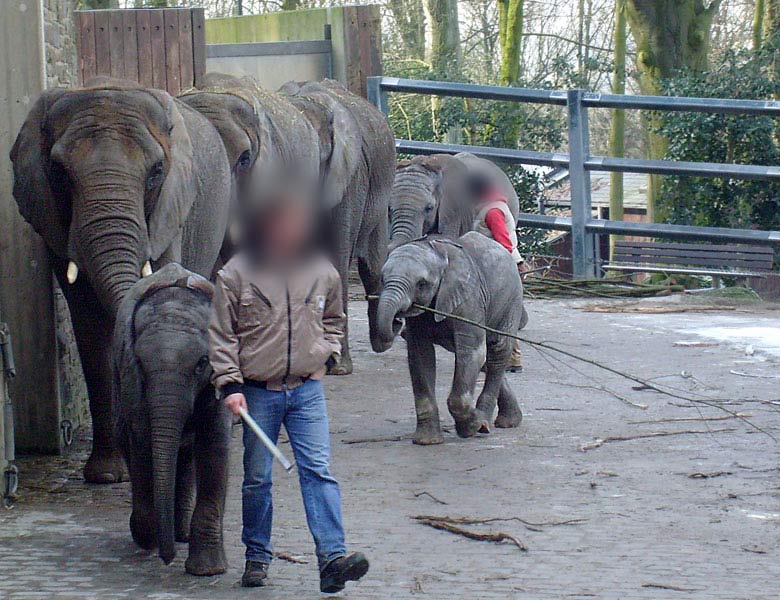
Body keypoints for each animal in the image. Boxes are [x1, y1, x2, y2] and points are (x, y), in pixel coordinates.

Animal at [10, 78, 232, 482]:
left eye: (157, 171)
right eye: (58, 172)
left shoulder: (168, 211)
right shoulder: (54, 224)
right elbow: (87, 326)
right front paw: (107, 475)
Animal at [112, 264, 232, 576]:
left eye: (202, 363)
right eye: (141, 363)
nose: (167, 559)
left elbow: (214, 446)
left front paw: (207, 570)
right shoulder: (131, 377)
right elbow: (143, 441)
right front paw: (149, 536)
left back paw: (181, 534)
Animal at [180, 77, 394, 372]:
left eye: (244, 159)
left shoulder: (349, 180)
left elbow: (334, 258)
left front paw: (337, 367)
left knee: (374, 263)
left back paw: (382, 342)